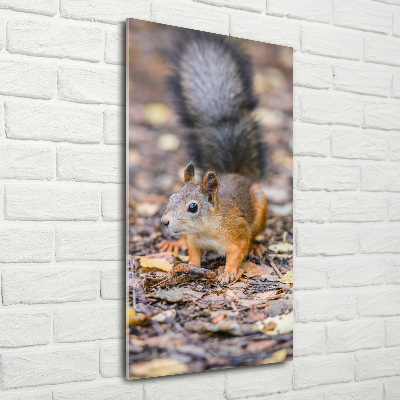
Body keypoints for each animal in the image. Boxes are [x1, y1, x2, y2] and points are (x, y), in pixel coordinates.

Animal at [158, 30, 268, 284]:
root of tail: (237, 174)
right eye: (171, 197)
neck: (205, 230)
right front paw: (189, 264)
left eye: (193, 207)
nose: (164, 222)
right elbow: (193, 255)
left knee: (256, 233)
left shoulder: (237, 232)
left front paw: (228, 273)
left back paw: (257, 246)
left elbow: (238, 253)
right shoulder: (194, 241)